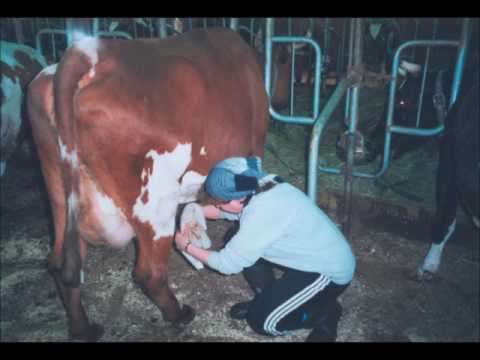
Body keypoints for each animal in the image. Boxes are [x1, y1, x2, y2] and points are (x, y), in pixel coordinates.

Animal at [27, 27, 270, 340]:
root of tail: (89, 53)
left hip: (57, 192)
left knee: (62, 265)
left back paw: (84, 329)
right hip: (154, 200)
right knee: (149, 272)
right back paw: (179, 315)